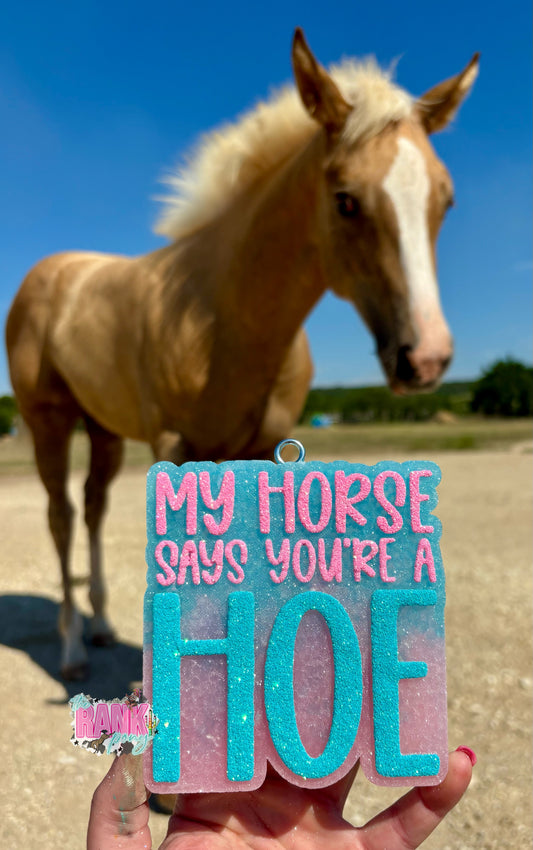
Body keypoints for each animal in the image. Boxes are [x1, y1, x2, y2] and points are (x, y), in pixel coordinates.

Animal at [5, 29, 478, 678]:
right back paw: (74, 647)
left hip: (102, 428)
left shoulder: (263, 448)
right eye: (345, 200)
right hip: (47, 420)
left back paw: (101, 628)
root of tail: (50, 271)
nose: (426, 358)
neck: (226, 317)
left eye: (445, 200)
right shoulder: (174, 448)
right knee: (62, 517)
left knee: (95, 506)